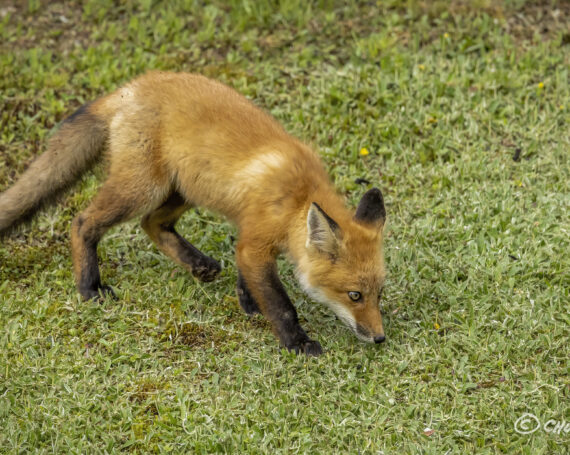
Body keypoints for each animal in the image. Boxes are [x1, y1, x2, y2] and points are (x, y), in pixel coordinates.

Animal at [0, 71, 386, 356]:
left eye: (378, 293)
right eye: (354, 295)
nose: (380, 337)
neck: (297, 198)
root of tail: (129, 87)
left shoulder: (248, 236)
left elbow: (247, 276)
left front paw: (249, 302)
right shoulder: (255, 241)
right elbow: (281, 305)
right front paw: (297, 342)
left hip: (184, 189)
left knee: (152, 223)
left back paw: (197, 264)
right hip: (143, 189)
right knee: (82, 222)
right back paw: (89, 287)